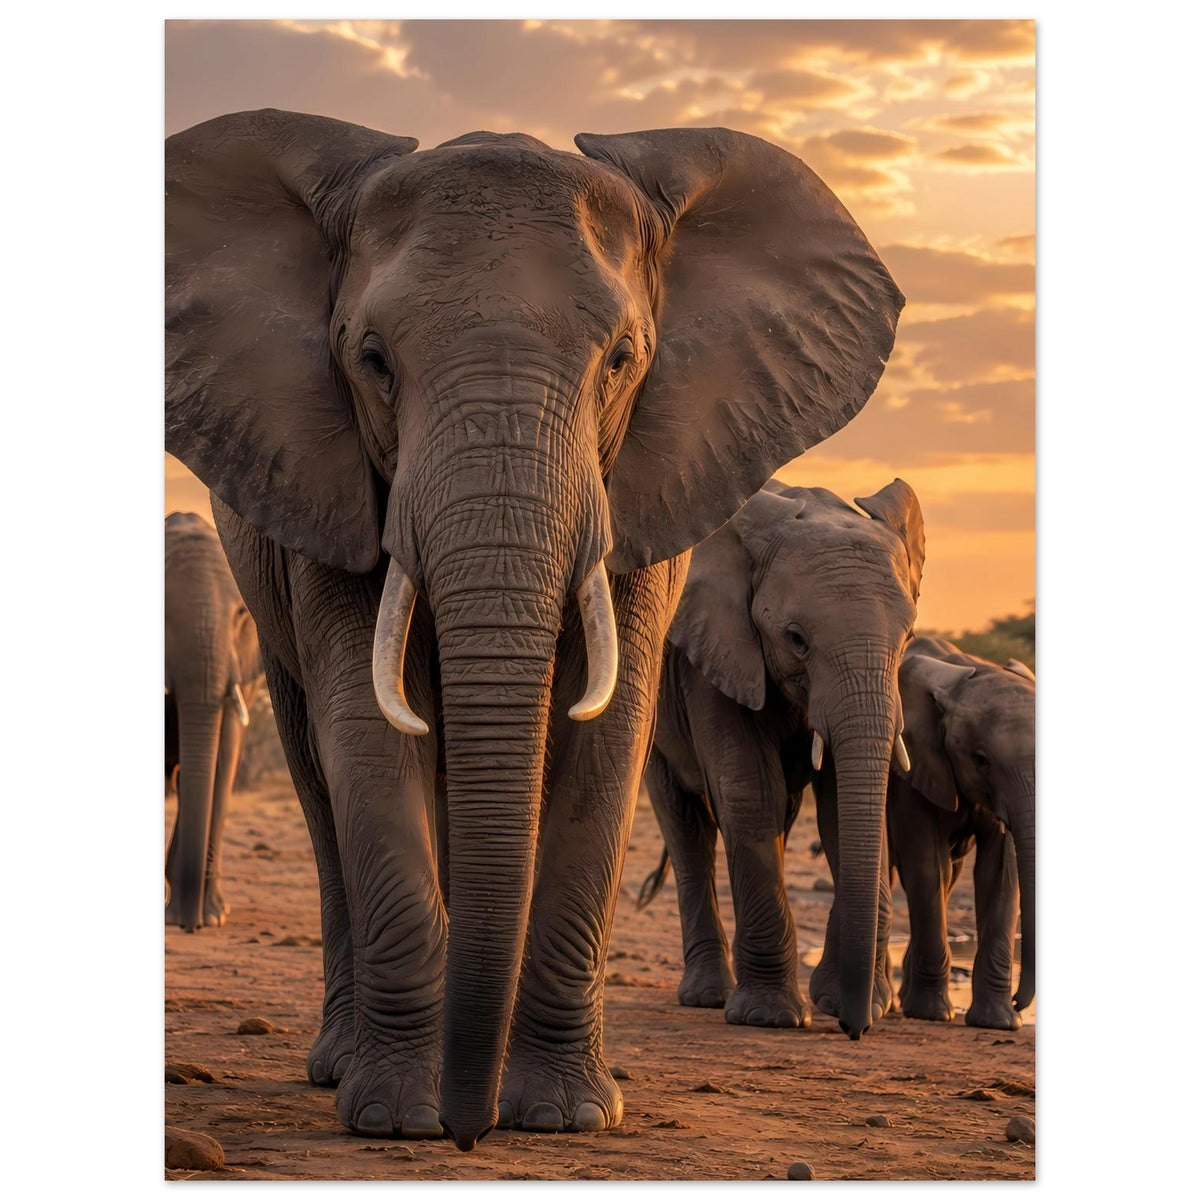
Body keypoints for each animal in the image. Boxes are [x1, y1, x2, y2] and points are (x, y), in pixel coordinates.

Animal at [640, 479, 924, 1037]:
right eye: (796, 639)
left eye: (906, 638)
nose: (856, 1030)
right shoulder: (713, 656)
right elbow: (749, 792)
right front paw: (767, 1018)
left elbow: (840, 806)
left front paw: (849, 1002)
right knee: (686, 825)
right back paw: (707, 997)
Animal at [885, 637, 1035, 1029]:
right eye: (981, 760)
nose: (1020, 1003)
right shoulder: (913, 768)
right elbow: (926, 864)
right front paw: (932, 1015)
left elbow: (1000, 874)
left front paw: (998, 1022)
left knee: (949, 877)